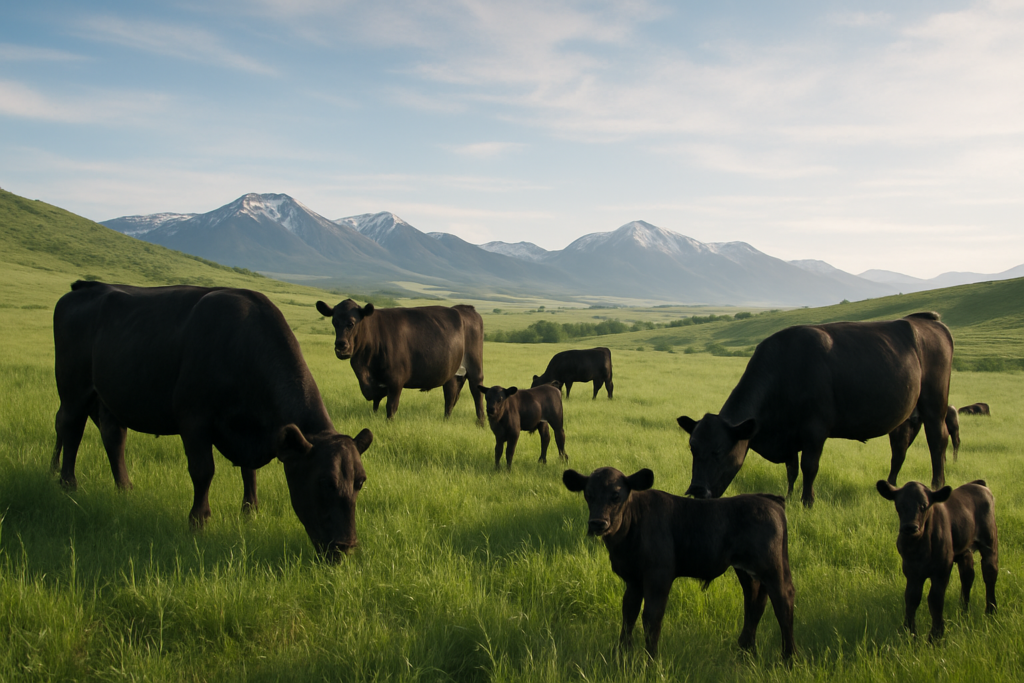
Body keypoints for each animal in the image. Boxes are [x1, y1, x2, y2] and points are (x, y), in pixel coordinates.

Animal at [51, 281, 372, 562]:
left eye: (360, 482)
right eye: (324, 482)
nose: (346, 547)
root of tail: (85, 287)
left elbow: (249, 472)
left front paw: (250, 511)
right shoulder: (194, 419)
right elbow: (203, 471)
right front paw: (198, 521)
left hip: (109, 398)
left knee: (113, 436)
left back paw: (125, 488)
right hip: (73, 387)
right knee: (70, 427)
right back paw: (67, 484)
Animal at [316, 299, 484, 422]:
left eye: (351, 323)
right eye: (334, 322)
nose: (340, 345)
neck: (364, 365)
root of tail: (466, 309)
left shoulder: (396, 380)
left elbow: (391, 407)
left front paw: (389, 424)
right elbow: (375, 404)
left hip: (475, 367)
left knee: (477, 393)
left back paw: (481, 423)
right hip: (453, 372)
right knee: (451, 396)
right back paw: (446, 420)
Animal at [563, 467, 795, 659]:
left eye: (616, 495)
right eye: (588, 495)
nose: (598, 523)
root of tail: (768, 499)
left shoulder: (659, 575)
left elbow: (651, 617)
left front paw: (651, 660)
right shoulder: (633, 580)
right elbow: (629, 613)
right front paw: (622, 653)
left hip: (773, 567)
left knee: (783, 600)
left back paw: (787, 658)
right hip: (747, 571)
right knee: (755, 601)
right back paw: (745, 650)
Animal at [678, 313, 954, 508]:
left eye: (718, 451)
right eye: (692, 448)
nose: (696, 490)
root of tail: (926, 320)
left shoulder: (815, 430)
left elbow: (809, 467)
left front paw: (807, 502)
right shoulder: (788, 435)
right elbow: (791, 469)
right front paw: (788, 497)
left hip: (934, 404)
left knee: (937, 441)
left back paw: (936, 484)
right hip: (905, 414)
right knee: (899, 447)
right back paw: (892, 486)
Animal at [876, 479, 998, 640]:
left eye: (924, 505)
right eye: (899, 504)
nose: (910, 527)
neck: (920, 546)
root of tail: (978, 484)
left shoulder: (942, 570)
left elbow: (935, 599)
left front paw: (936, 636)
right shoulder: (911, 570)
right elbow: (911, 597)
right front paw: (909, 632)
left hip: (989, 543)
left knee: (990, 573)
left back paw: (991, 611)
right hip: (965, 551)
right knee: (967, 577)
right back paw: (963, 612)